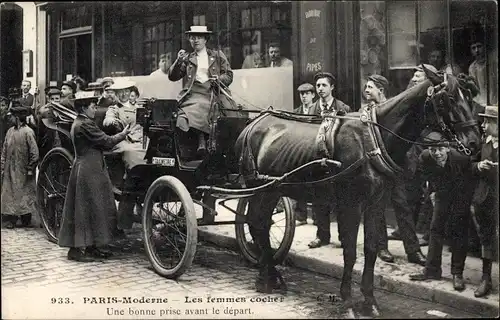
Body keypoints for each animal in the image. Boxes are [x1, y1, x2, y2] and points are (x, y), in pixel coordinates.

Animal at [234, 65, 480, 318]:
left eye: (470, 97)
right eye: (447, 99)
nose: (474, 142)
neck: (372, 141)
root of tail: (252, 125)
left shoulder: (376, 202)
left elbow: (370, 249)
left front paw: (369, 300)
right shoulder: (350, 204)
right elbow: (351, 251)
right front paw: (348, 302)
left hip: (272, 189)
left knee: (259, 224)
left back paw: (269, 276)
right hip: (260, 188)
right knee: (256, 223)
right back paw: (268, 278)